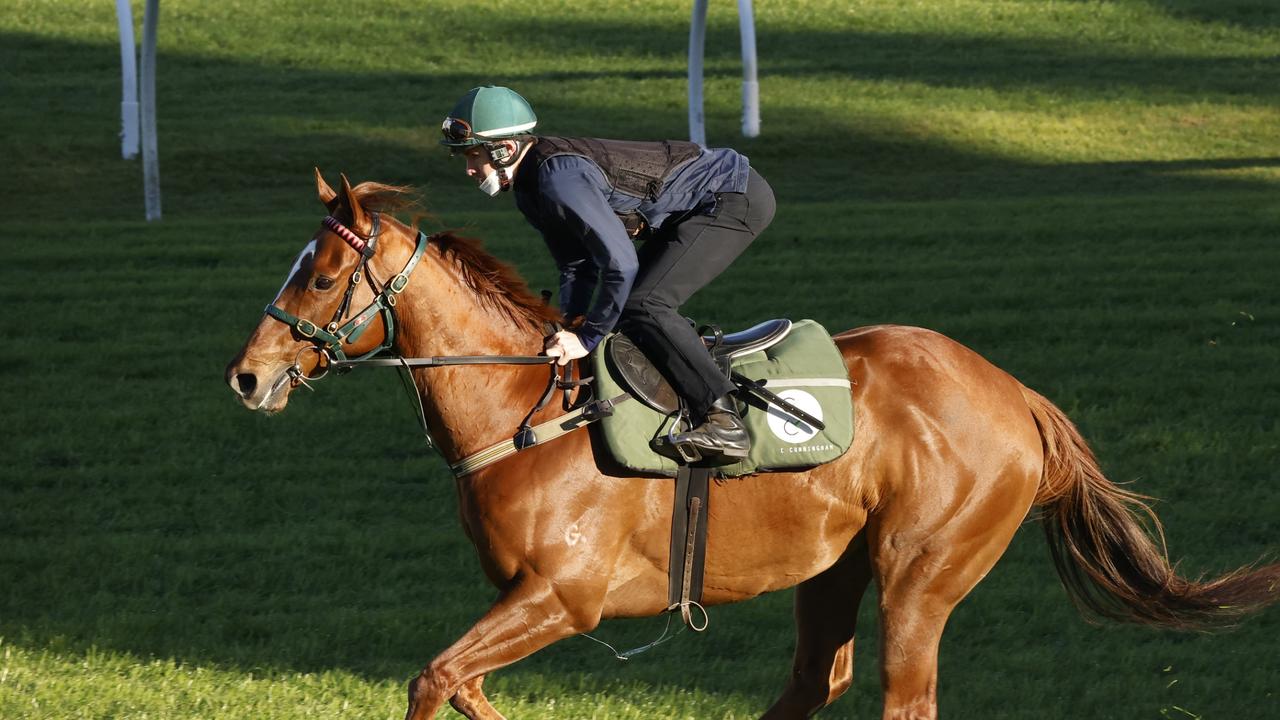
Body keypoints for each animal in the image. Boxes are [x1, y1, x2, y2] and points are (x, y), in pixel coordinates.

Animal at [225, 174, 1274, 717]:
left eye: (321, 275)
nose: (245, 376)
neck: (522, 409)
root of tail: (1018, 396)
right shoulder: (530, 604)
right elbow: (459, 685)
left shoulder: (563, 598)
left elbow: (436, 677)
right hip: (835, 568)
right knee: (816, 680)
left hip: (923, 569)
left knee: (903, 696)